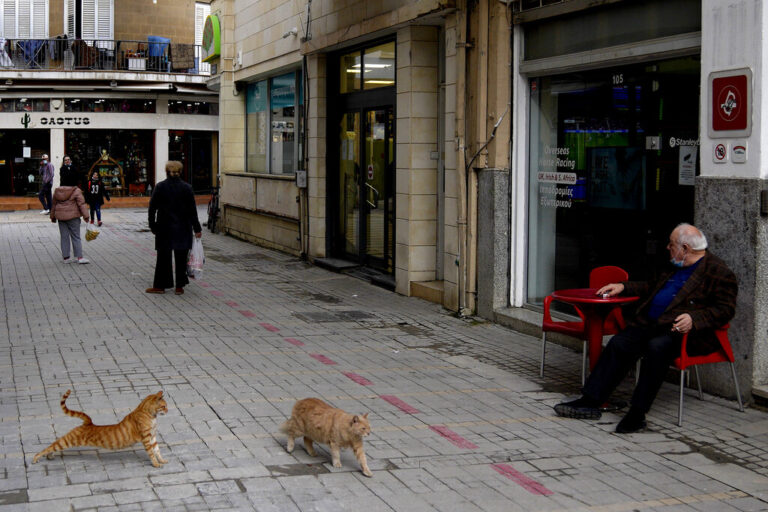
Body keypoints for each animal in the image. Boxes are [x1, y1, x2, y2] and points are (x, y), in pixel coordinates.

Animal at [32, 388, 168, 468]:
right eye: (164, 406)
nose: (168, 410)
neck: (150, 415)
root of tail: (88, 422)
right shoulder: (146, 438)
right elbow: (151, 453)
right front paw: (156, 464)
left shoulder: (153, 437)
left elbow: (157, 450)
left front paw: (162, 460)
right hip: (68, 440)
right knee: (50, 447)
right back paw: (35, 458)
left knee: (52, 447)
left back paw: (50, 456)